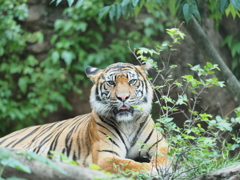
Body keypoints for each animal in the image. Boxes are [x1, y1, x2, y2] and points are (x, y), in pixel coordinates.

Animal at [0, 62, 170, 175]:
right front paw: (150, 169)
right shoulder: (105, 156)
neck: (127, 123)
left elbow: (165, 155)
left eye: (132, 81)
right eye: (111, 83)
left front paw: (161, 167)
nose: (123, 97)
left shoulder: (159, 143)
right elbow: (129, 164)